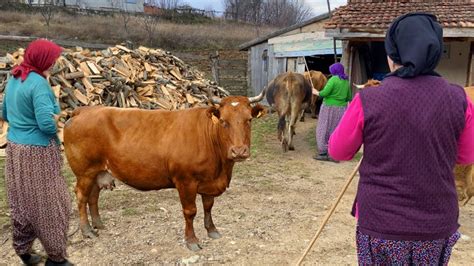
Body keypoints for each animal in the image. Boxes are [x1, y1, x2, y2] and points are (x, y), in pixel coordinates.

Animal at [62, 94, 266, 250]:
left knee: (93, 197)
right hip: (84, 172)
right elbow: (190, 211)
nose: (239, 151)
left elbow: (208, 207)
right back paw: (87, 230)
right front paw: (192, 241)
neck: (221, 168)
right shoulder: (185, 181)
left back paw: (98, 224)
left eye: (249, 120)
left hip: (98, 171)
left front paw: (212, 230)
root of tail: (83, 110)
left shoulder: (209, 181)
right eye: (223, 121)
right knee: (81, 197)